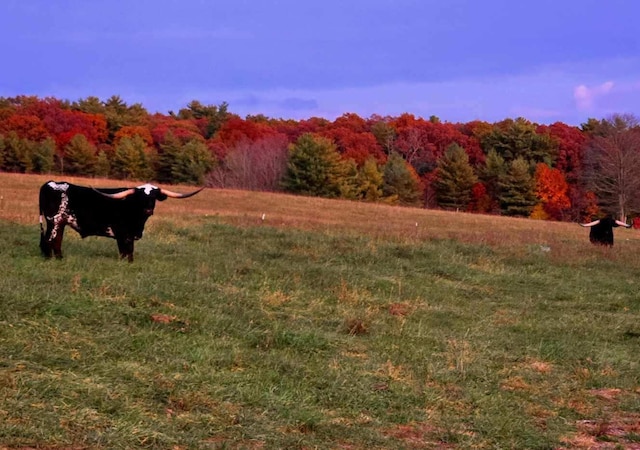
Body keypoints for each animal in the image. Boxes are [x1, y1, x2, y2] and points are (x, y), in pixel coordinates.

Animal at [38, 181, 204, 262]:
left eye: (154, 197)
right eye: (140, 197)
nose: (148, 210)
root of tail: (51, 183)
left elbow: (126, 252)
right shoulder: (123, 234)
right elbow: (127, 251)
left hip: (60, 223)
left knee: (57, 241)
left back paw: (59, 258)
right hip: (54, 221)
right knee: (49, 240)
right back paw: (50, 259)